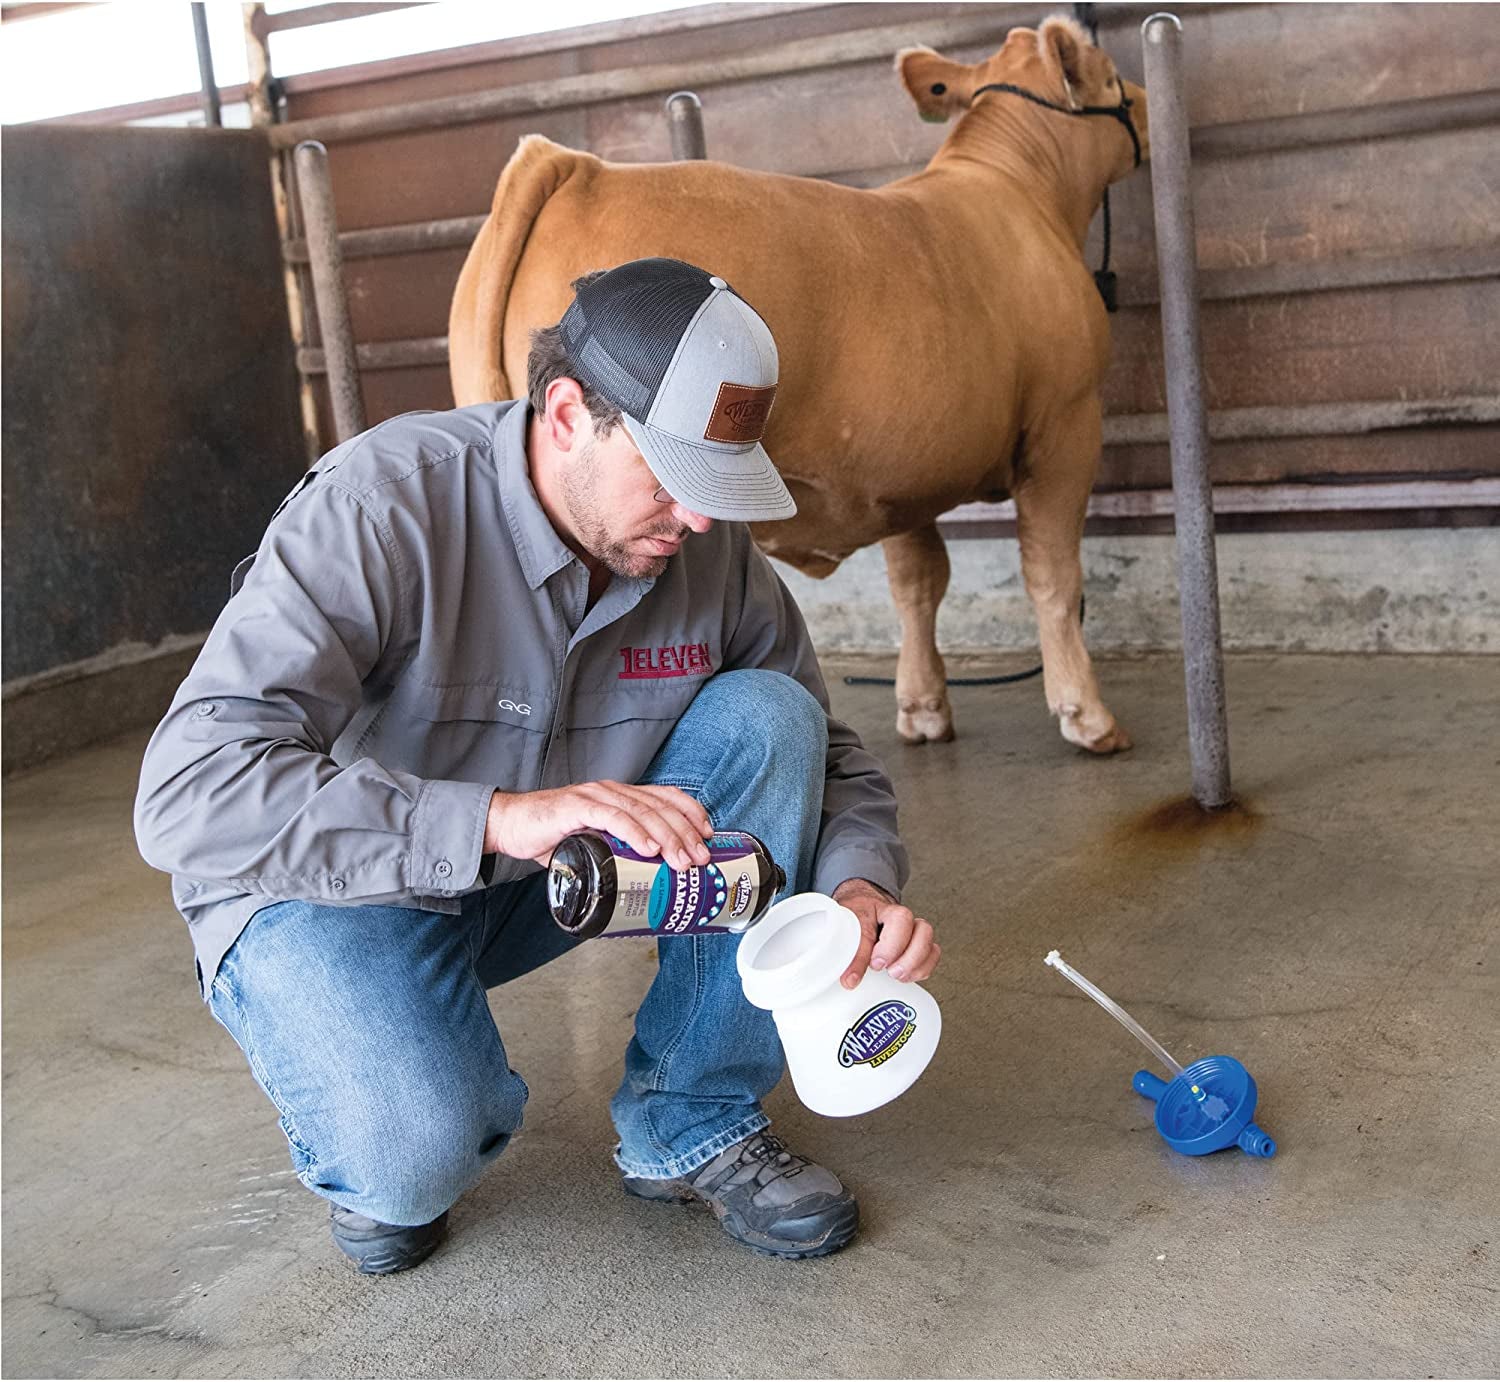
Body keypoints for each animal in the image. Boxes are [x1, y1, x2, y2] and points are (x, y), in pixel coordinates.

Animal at [447, 16, 1146, 756]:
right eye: (1108, 74)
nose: (1142, 102)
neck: (1017, 190)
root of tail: (581, 166)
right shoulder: (1066, 424)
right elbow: (1053, 574)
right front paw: (1087, 716)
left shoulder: (905, 467)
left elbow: (918, 580)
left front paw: (924, 707)